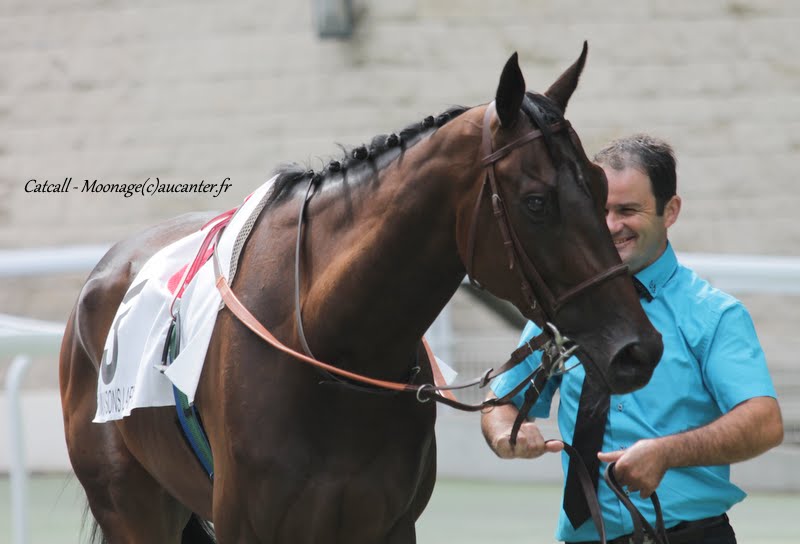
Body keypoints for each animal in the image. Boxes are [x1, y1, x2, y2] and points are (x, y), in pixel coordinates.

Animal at [59, 44, 664, 540]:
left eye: (602, 187)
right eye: (537, 202)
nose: (639, 349)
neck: (328, 347)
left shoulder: (388, 525)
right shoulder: (250, 527)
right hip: (131, 507)